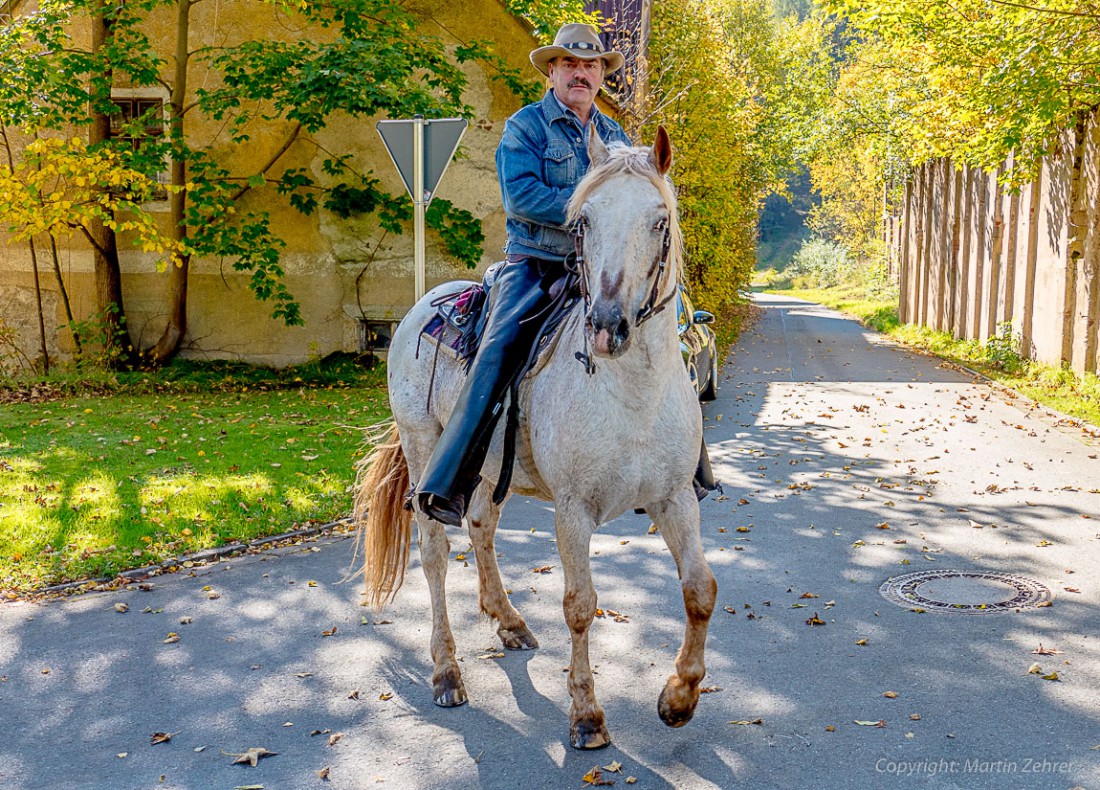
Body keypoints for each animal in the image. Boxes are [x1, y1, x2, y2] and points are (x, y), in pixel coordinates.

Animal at [354, 127, 721, 752]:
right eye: (584, 222)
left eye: (659, 221)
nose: (607, 326)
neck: (634, 394)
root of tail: (426, 303)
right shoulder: (573, 510)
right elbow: (580, 605)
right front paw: (587, 715)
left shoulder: (674, 499)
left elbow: (700, 589)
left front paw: (679, 699)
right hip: (424, 446)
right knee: (433, 552)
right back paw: (446, 672)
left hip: (485, 469)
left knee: (480, 526)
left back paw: (509, 622)